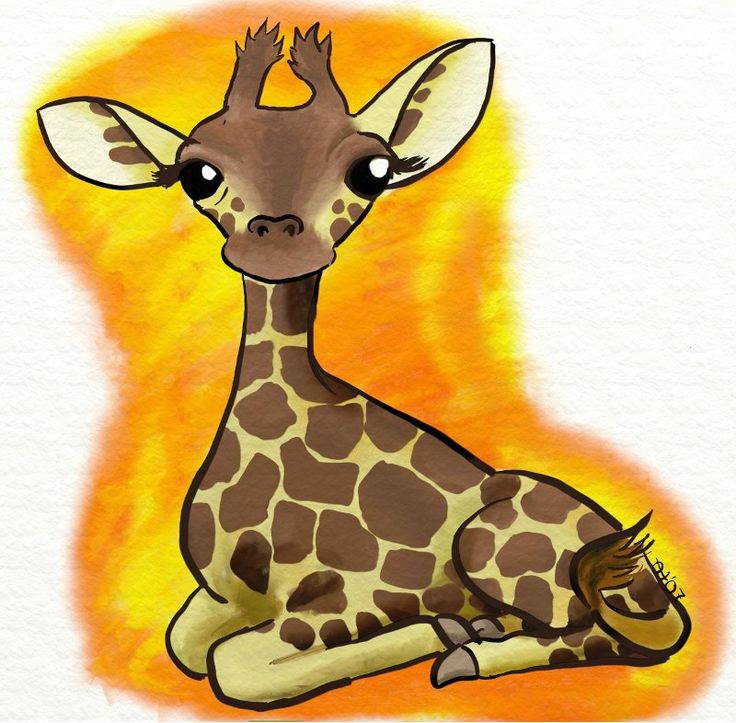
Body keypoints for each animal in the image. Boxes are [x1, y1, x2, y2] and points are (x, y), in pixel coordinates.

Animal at [38, 21, 690, 711]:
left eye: (372, 170)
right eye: (197, 174)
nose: (277, 241)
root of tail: (648, 579)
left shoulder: (352, 595)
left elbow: (231, 665)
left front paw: (439, 629)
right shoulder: (225, 595)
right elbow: (186, 644)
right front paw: (452, 627)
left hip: (494, 549)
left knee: (609, 634)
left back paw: (465, 650)